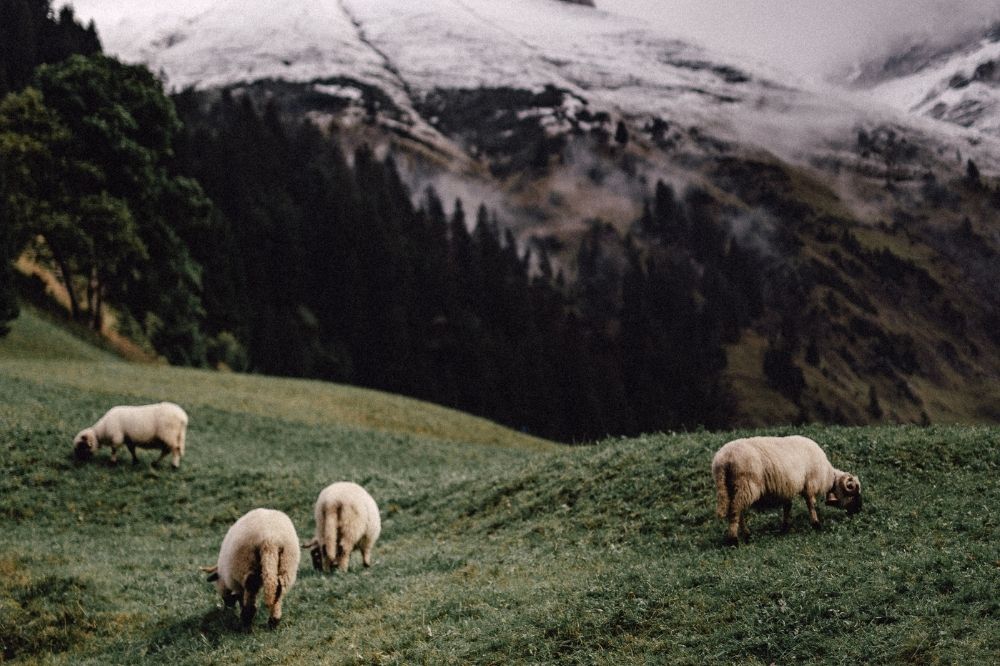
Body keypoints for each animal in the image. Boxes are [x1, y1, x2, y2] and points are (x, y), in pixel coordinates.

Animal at [712, 434, 860, 544]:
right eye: (853, 494)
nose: (858, 511)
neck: (828, 475)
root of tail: (723, 460)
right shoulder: (809, 484)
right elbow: (811, 504)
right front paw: (816, 524)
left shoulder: (787, 488)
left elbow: (787, 507)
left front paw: (785, 527)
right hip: (746, 484)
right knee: (736, 510)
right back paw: (733, 539)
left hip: (731, 487)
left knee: (738, 510)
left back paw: (746, 534)